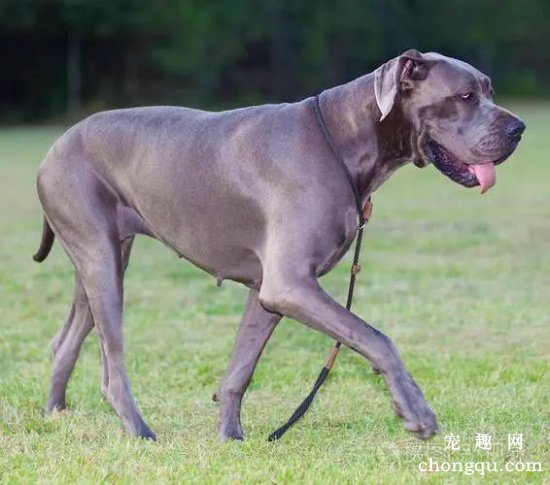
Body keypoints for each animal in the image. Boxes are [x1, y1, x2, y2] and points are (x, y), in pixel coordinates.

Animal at [33, 49, 528, 438]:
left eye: (489, 90)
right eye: (464, 97)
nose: (520, 128)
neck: (344, 140)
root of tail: (55, 146)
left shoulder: (266, 291)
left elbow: (241, 369)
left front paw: (230, 437)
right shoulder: (289, 283)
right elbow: (375, 337)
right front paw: (416, 412)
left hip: (103, 258)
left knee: (66, 340)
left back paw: (55, 412)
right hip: (101, 260)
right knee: (112, 366)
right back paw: (139, 431)